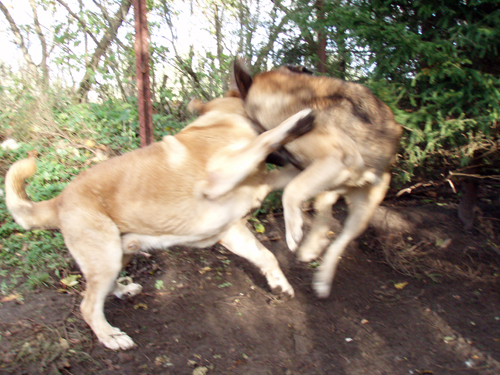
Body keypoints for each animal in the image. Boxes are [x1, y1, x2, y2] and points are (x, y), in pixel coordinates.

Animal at [4, 96, 312, 350]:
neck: (218, 121)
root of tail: (57, 201)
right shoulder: (220, 178)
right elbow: (266, 138)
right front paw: (296, 119)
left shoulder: (235, 229)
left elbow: (267, 255)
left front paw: (280, 284)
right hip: (106, 257)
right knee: (88, 306)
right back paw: (111, 337)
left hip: (117, 255)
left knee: (101, 289)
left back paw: (123, 290)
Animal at [232, 63, 404, 302]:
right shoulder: (301, 166)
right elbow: (278, 182)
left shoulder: (331, 160)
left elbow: (291, 190)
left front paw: (293, 230)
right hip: (327, 187)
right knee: (323, 214)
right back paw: (312, 246)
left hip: (363, 209)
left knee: (340, 241)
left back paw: (323, 277)